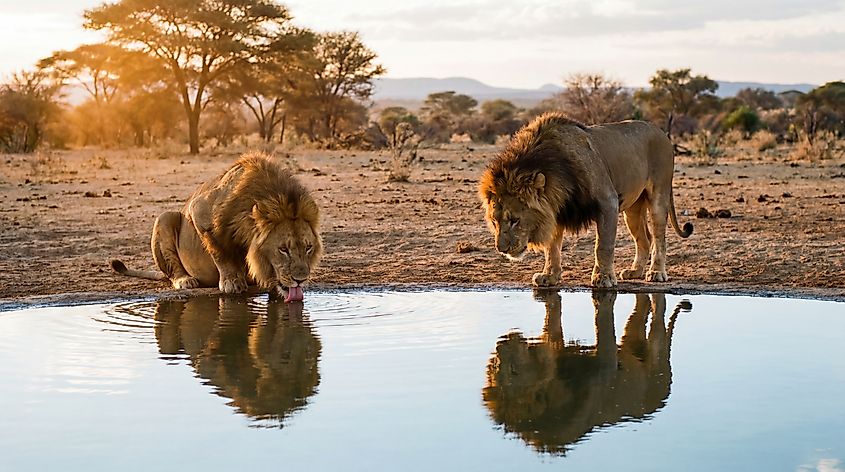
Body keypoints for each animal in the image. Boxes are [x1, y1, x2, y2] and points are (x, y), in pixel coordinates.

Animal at [111, 151, 323, 302]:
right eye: (283, 249)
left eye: (308, 248)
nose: (300, 279)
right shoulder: (199, 211)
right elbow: (220, 252)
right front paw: (232, 282)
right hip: (166, 217)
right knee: (172, 272)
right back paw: (185, 280)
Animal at [478, 112, 692, 288]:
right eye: (495, 221)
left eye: (515, 220)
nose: (501, 249)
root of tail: (662, 133)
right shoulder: (556, 210)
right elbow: (552, 248)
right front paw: (549, 276)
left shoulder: (608, 201)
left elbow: (603, 246)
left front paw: (603, 278)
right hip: (632, 209)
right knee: (644, 239)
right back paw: (635, 271)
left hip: (659, 196)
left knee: (659, 238)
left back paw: (656, 273)